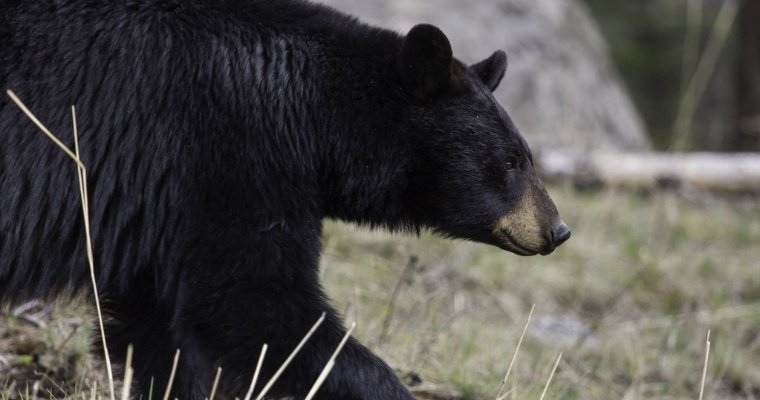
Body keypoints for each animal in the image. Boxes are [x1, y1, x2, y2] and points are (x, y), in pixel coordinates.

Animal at [0, 0, 568, 398]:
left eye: (526, 156)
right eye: (511, 161)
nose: (557, 230)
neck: (310, 112)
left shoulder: (161, 212)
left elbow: (157, 329)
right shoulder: (225, 154)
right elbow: (257, 304)